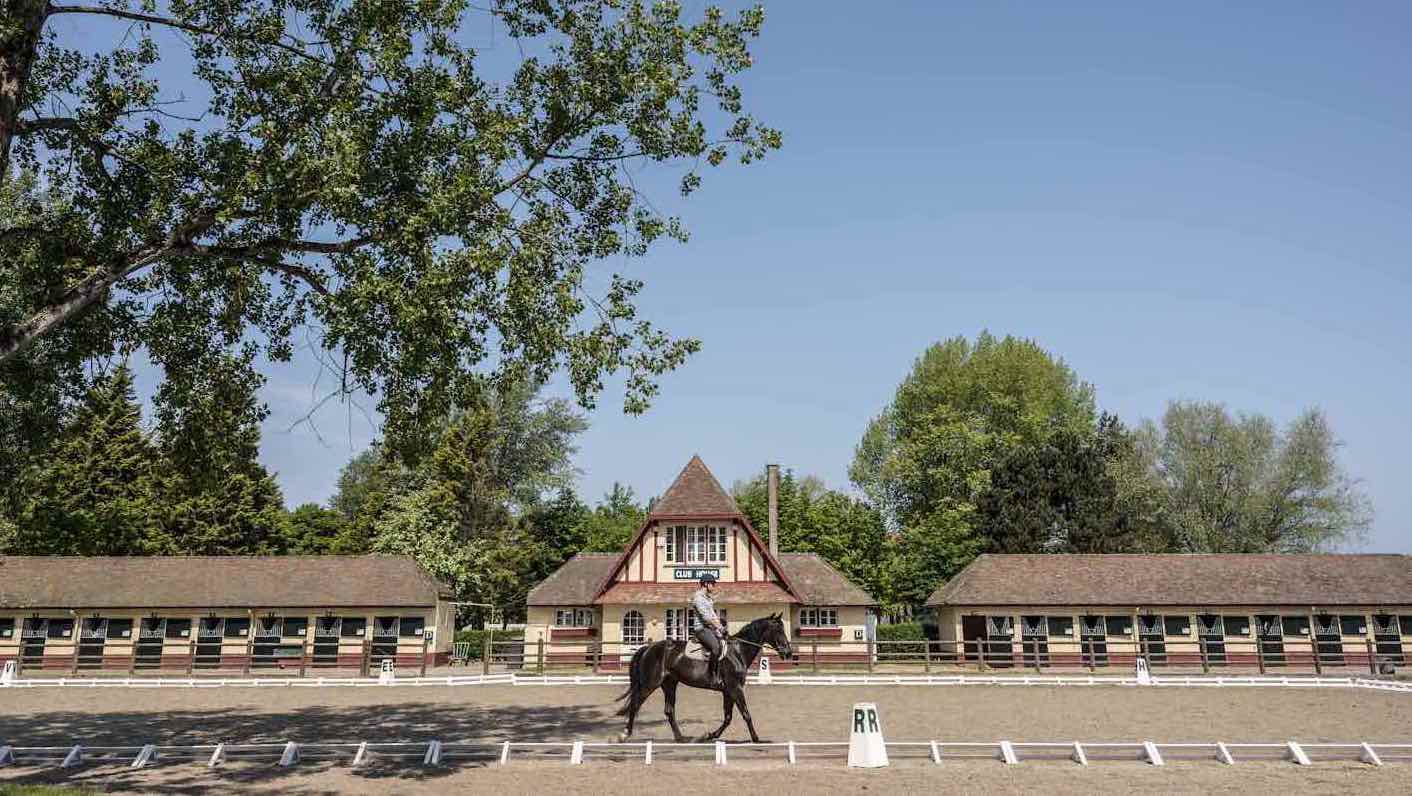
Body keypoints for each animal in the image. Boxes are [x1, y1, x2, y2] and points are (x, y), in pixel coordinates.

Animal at [615, 612, 796, 745]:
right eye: (778, 631)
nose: (788, 653)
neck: (738, 652)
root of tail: (648, 647)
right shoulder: (735, 688)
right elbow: (746, 714)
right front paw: (757, 739)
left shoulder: (728, 691)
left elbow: (728, 717)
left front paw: (709, 735)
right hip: (651, 683)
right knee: (635, 704)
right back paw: (624, 735)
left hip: (669, 684)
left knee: (669, 710)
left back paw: (681, 738)